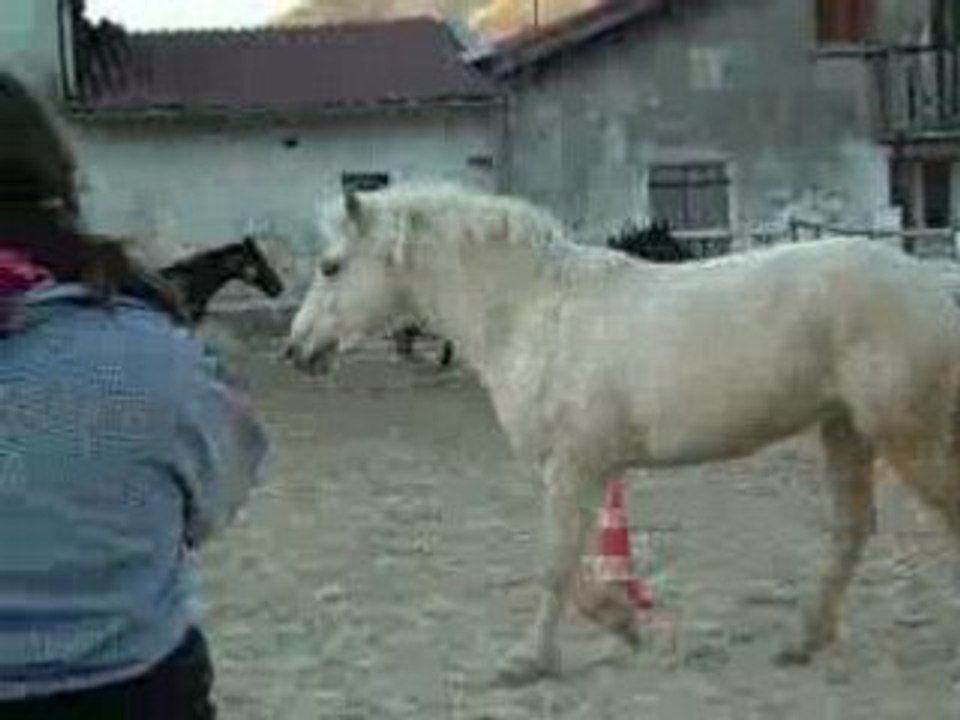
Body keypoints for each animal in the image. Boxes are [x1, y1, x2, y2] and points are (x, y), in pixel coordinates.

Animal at [284, 183, 960, 686]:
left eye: (331, 266)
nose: (297, 350)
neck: (533, 313)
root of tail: (933, 283)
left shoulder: (574, 467)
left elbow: (555, 564)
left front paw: (529, 661)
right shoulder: (580, 470)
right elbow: (573, 566)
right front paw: (622, 624)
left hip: (908, 435)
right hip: (845, 428)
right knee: (852, 530)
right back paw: (801, 642)